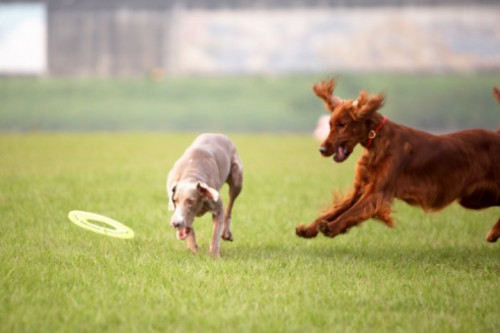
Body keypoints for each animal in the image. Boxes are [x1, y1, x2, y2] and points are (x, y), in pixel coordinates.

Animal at [294, 80, 498, 241]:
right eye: (329, 125)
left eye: (342, 124)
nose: (321, 149)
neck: (377, 142)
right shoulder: (361, 189)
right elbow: (335, 210)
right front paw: (309, 228)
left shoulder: (377, 192)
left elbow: (350, 212)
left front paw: (331, 227)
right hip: (474, 198)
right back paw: (494, 233)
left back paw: (494, 232)